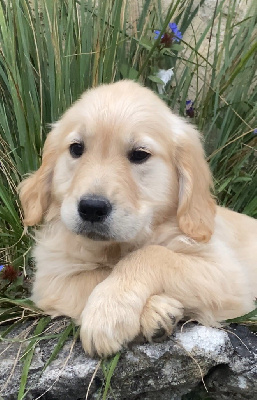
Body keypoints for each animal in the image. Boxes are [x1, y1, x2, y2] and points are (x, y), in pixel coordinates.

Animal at [19, 81, 256, 356]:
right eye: (76, 149)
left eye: (140, 154)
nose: (91, 208)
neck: (117, 246)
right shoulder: (51, 276)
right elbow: (94, 275)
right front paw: (154, 311)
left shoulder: (227, 275)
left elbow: (151, 254)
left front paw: (108, 313)